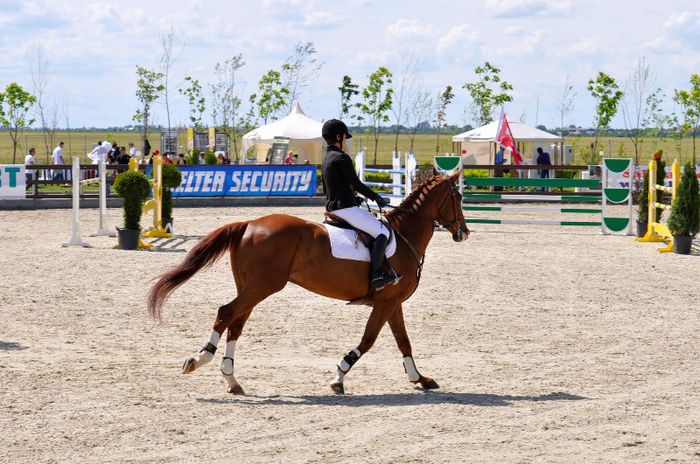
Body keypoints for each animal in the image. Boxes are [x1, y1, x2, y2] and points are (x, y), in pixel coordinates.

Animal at [146, 169, 470, 394]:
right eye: (458, 197)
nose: (464, 233)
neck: (404, 237)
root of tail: (248, 224)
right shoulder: (386, 302)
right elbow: (368, 340)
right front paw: (339, 377)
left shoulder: (393, 302)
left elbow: (404, 341)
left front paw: (420, 378)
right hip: (262, 287)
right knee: (226, 313)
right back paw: (200, 360)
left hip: (252, 288)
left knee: (236, 321)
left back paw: (232, 380)